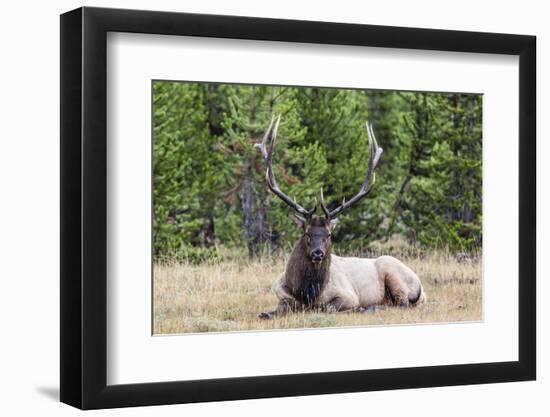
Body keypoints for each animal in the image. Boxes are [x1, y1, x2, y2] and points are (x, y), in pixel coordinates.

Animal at [258, 115, 426, 316]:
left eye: (329, 234)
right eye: (306, 233)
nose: (318, 253)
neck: (306, 294)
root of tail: (421, 288)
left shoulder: (348, 295)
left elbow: (328, 307)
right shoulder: (282, 296)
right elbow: (272, 311)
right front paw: (267, 313)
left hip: (393, 272)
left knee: (402, 303)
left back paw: (371, 307)